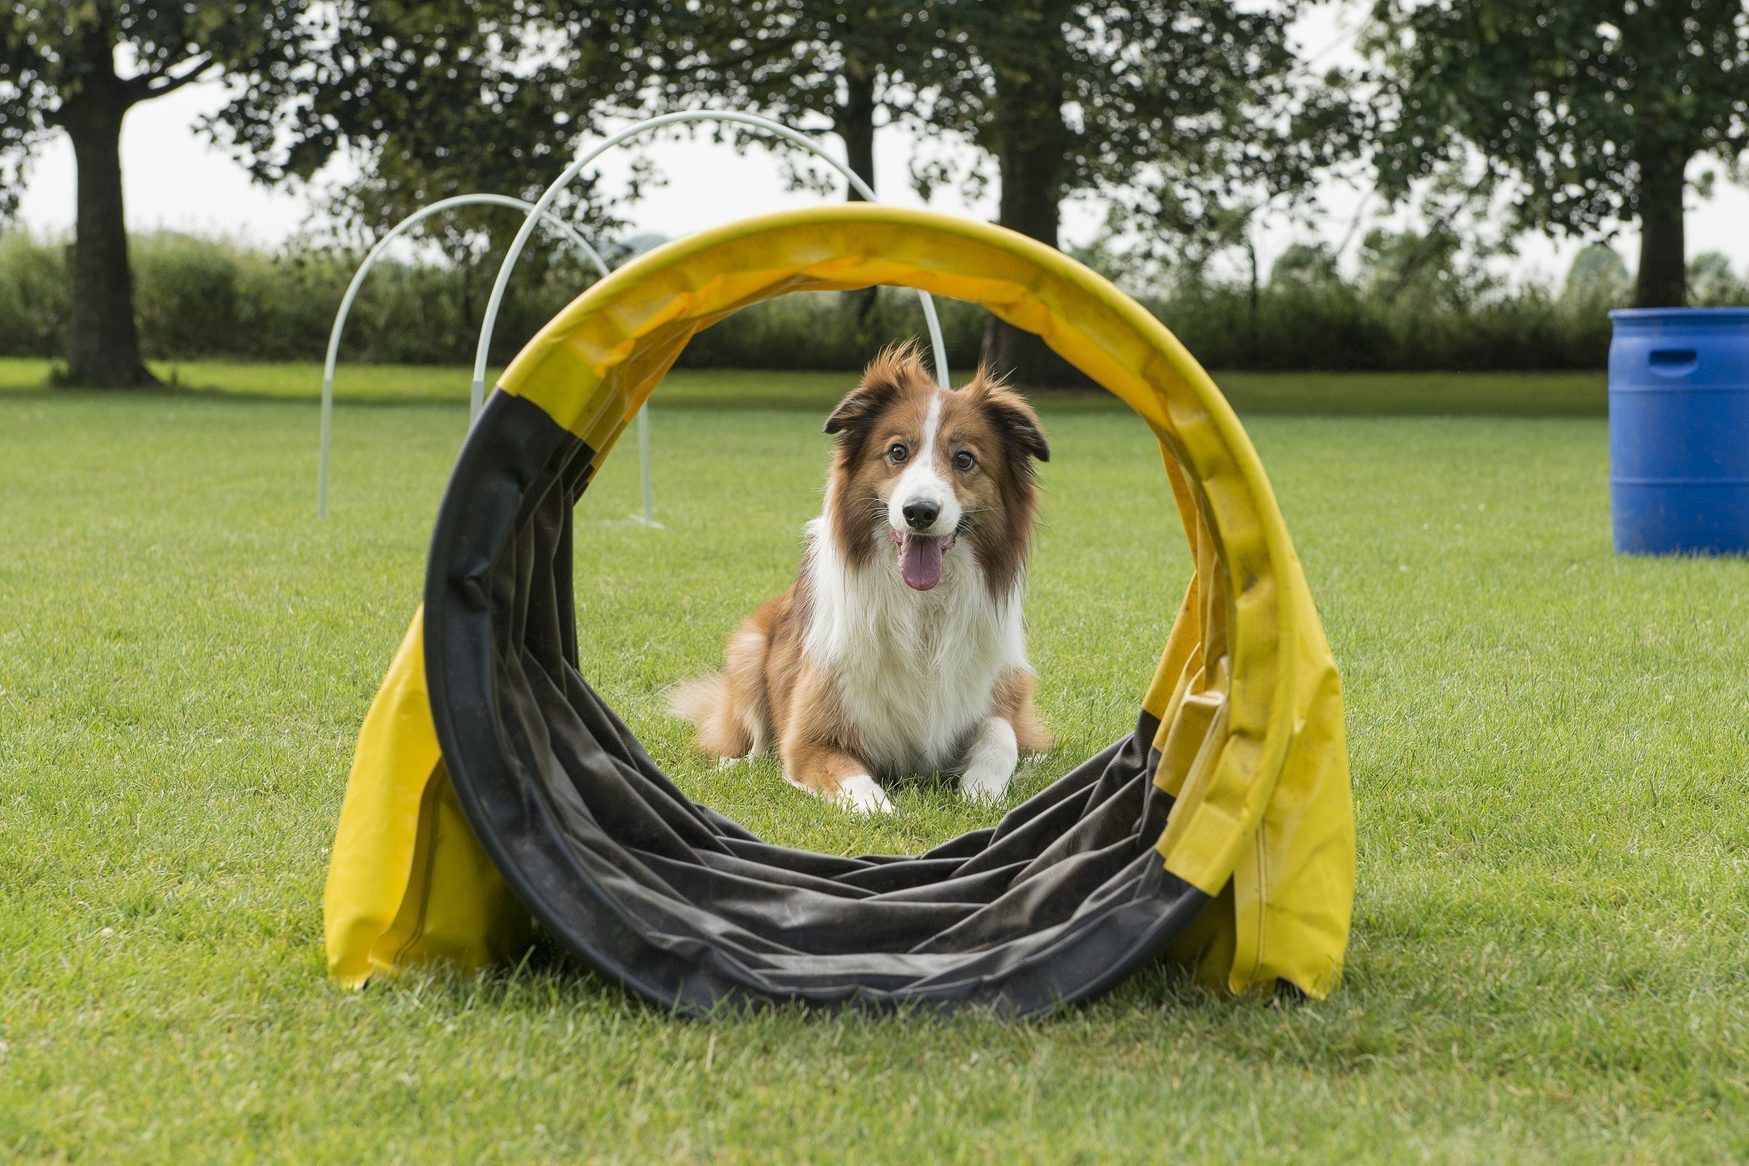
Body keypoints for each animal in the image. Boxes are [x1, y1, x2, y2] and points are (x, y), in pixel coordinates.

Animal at [671, 344, 1049, 811]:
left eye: (964, 459)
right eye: (898, 452)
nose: (919, 512)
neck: (921, 609)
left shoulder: (1002, 692)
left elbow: (1002, 737)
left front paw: (981, 792)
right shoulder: (810, 737)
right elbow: (862, 791)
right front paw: (886, 811)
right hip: (748, 649)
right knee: (751, 740)